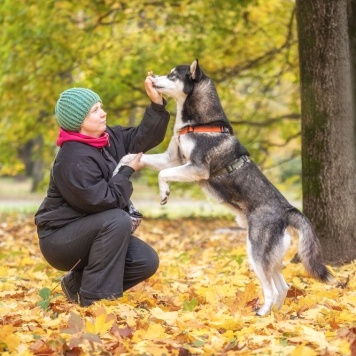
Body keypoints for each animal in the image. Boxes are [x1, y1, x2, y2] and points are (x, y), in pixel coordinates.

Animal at [118, 59, 336, 316]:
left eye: (172, 75)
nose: (151, 78)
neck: (199, 125)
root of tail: (288, 210)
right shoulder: (172, 159)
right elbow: (132, 157)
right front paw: (117, 169)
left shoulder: (196, 168)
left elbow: (163, 175)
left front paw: (164, 194)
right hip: (270, 257)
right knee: (283, 286)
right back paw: (274, 316)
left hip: (256, 252)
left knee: (272, 290)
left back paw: (261, 314)